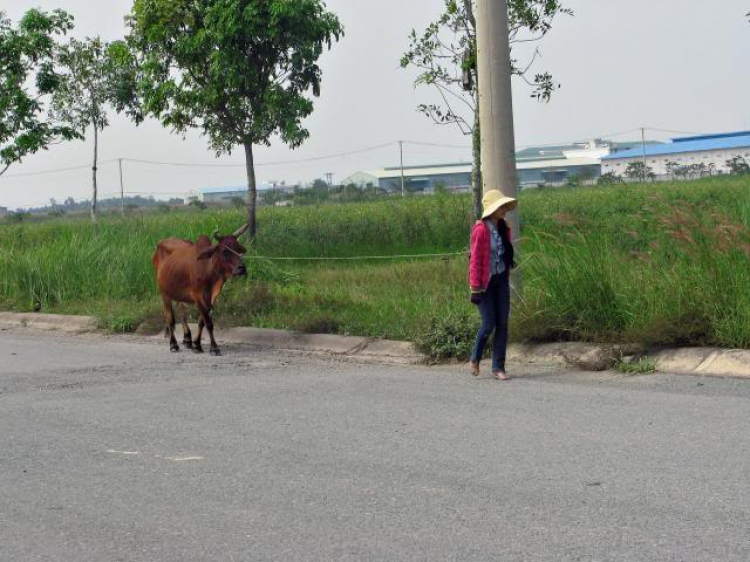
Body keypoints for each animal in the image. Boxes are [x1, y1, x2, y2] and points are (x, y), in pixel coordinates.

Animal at [153, 224, 250, 352]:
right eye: (225, 251)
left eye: (239, 250)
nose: (242, 268)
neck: (207, 268)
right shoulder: (197, 295)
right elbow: (208, 322)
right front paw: (214, 348)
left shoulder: (211, 297)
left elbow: (202, 322)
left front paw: (197, 344)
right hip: (164, 293)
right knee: (169, 317)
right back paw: (173, 344)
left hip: (179, 292)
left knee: (181, 311)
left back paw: (187, 339)